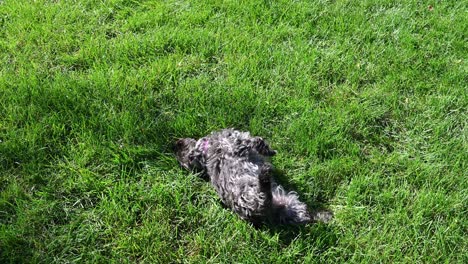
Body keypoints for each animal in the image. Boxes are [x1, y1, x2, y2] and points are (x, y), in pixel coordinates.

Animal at [174, 128, 330, 225]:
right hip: (252, 195)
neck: (206, 152)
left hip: (290, 203)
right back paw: (265, 175)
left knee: (306, 216)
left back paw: (323, 216)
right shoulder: (240, 141)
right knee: (264, 193)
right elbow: (256, 141)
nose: (175, 145)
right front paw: (268, 150)